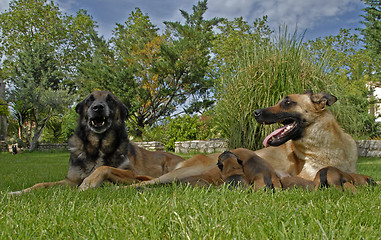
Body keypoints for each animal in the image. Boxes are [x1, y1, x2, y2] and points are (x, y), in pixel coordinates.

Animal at [9, 91, 185, 194]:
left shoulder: (130, 173)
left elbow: (104, 167)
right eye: (89, 100)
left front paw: (90, 181)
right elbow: (41, 184)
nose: (98, 107)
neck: (98, 146)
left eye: (111, 100)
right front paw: (19, 192)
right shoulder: (70, 181)